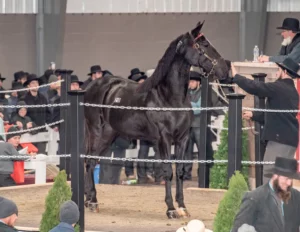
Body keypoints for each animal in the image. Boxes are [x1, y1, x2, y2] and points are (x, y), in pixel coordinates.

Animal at [83, 20, 229, 218]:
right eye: (204, 45)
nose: (225, 69)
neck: (170, 97)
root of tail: (93, 87)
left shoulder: (183, 139)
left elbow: (180, 171)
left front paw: (182, 207)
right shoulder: (164, 139)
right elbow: (168, 171)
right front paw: (171, 209)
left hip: (108, 135)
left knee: (91, 161)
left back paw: (89, 200)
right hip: (96, 131)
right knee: (90, 161)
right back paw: (92, 202)